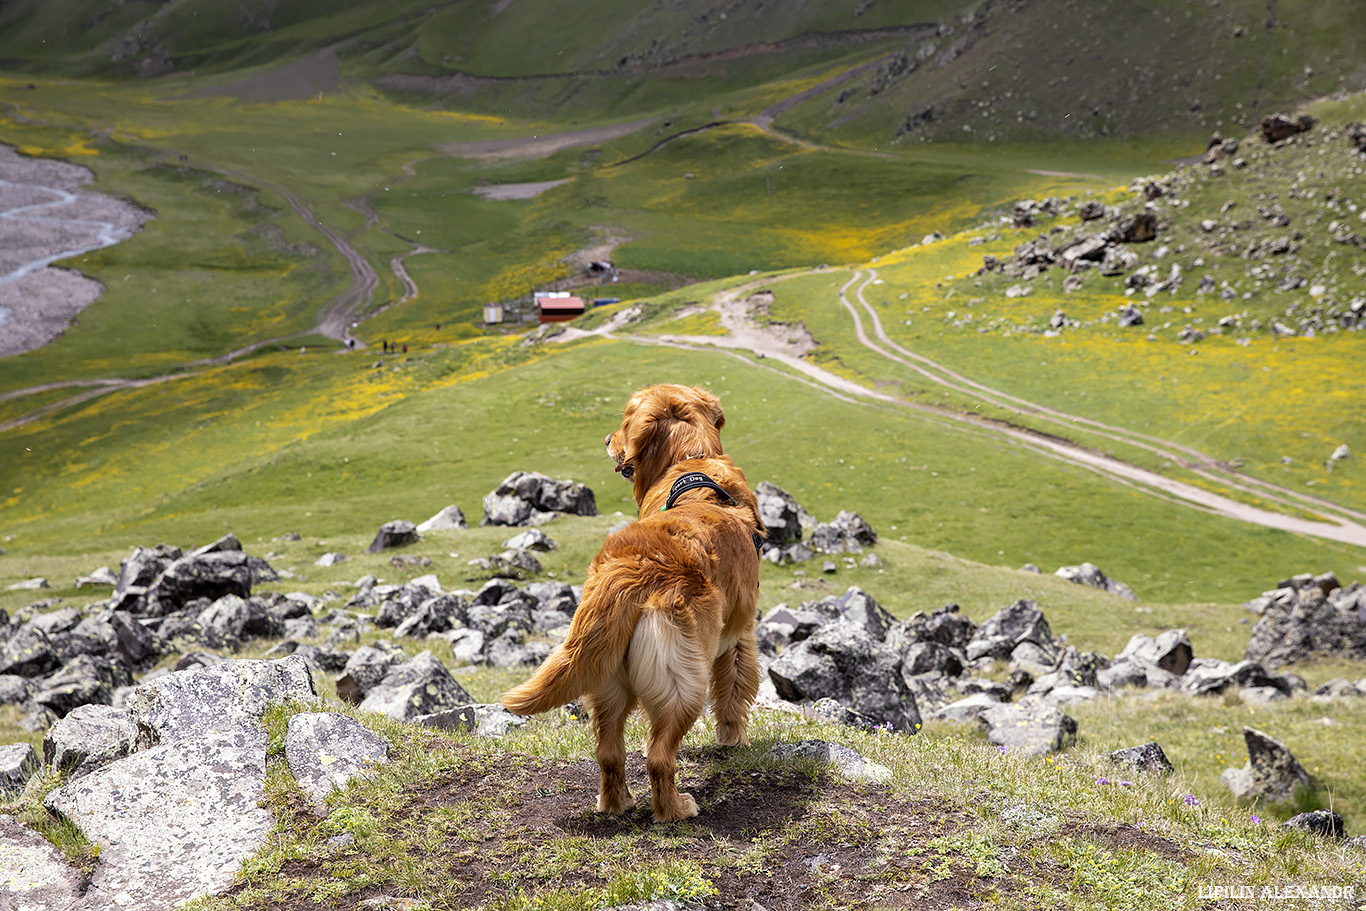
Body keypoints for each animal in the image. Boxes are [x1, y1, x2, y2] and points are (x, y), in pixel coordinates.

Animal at [499, 382, 764, 824]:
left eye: (624, 420)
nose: (607, 439)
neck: (692, 460)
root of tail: (634, 568)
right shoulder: (739, 636)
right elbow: (734, 694)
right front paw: (734, 741)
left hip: (604, 677)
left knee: (609, 752)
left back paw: (616, 803)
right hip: (683, 679)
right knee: (659, 756)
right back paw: (675, 809)